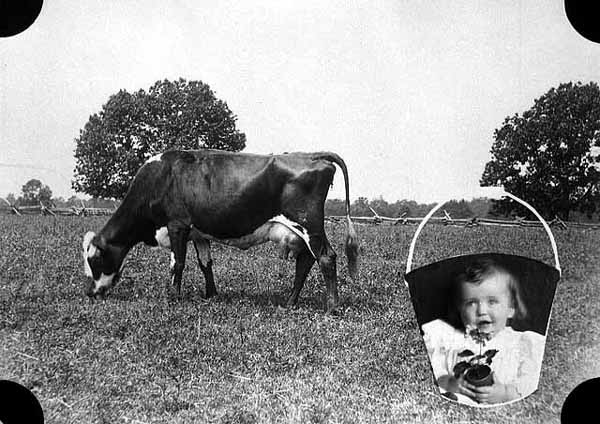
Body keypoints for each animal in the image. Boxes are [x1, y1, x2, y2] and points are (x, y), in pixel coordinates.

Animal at [82, 149, 358, 312]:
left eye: (94, 259)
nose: (90, 293)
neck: (159, 178)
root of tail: (312, 155)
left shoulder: (177, 225)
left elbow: (177, 263)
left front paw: (173, 298)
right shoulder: (198, 233)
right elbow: (205, 263)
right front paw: (211, 294)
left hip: (308, 224)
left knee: (326, 258)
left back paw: (332, 307)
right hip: (301, 232)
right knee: (305, 262)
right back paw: (289, 303)